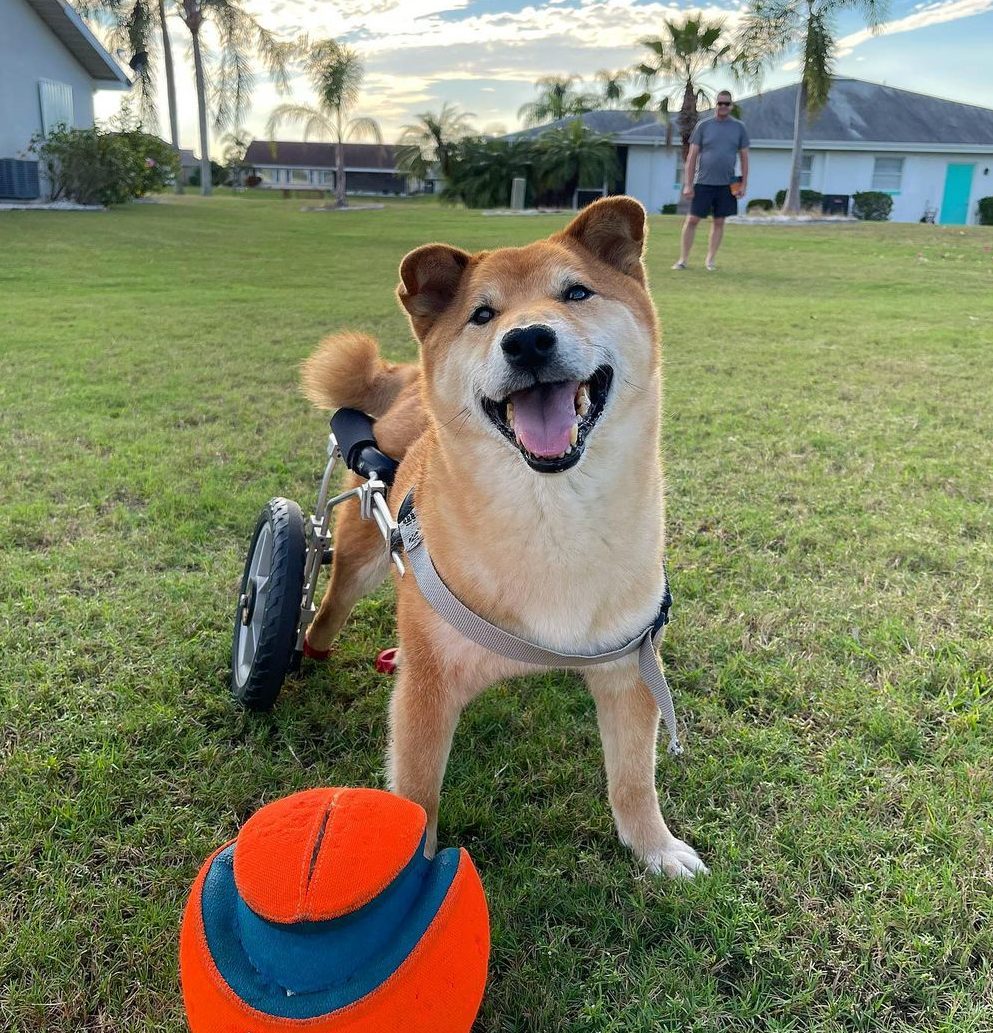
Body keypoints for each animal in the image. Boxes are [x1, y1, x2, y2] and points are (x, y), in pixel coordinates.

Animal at [299, 195, 706, 880]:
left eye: (576, 293)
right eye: (482, 314)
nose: (528, 338)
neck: (553, 519)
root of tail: (406, 381)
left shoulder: (629, 667)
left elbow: (632, 780)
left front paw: (655, 848)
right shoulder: (429, 690)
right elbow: (417, 794)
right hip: (359, 551)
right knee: (328, 603)